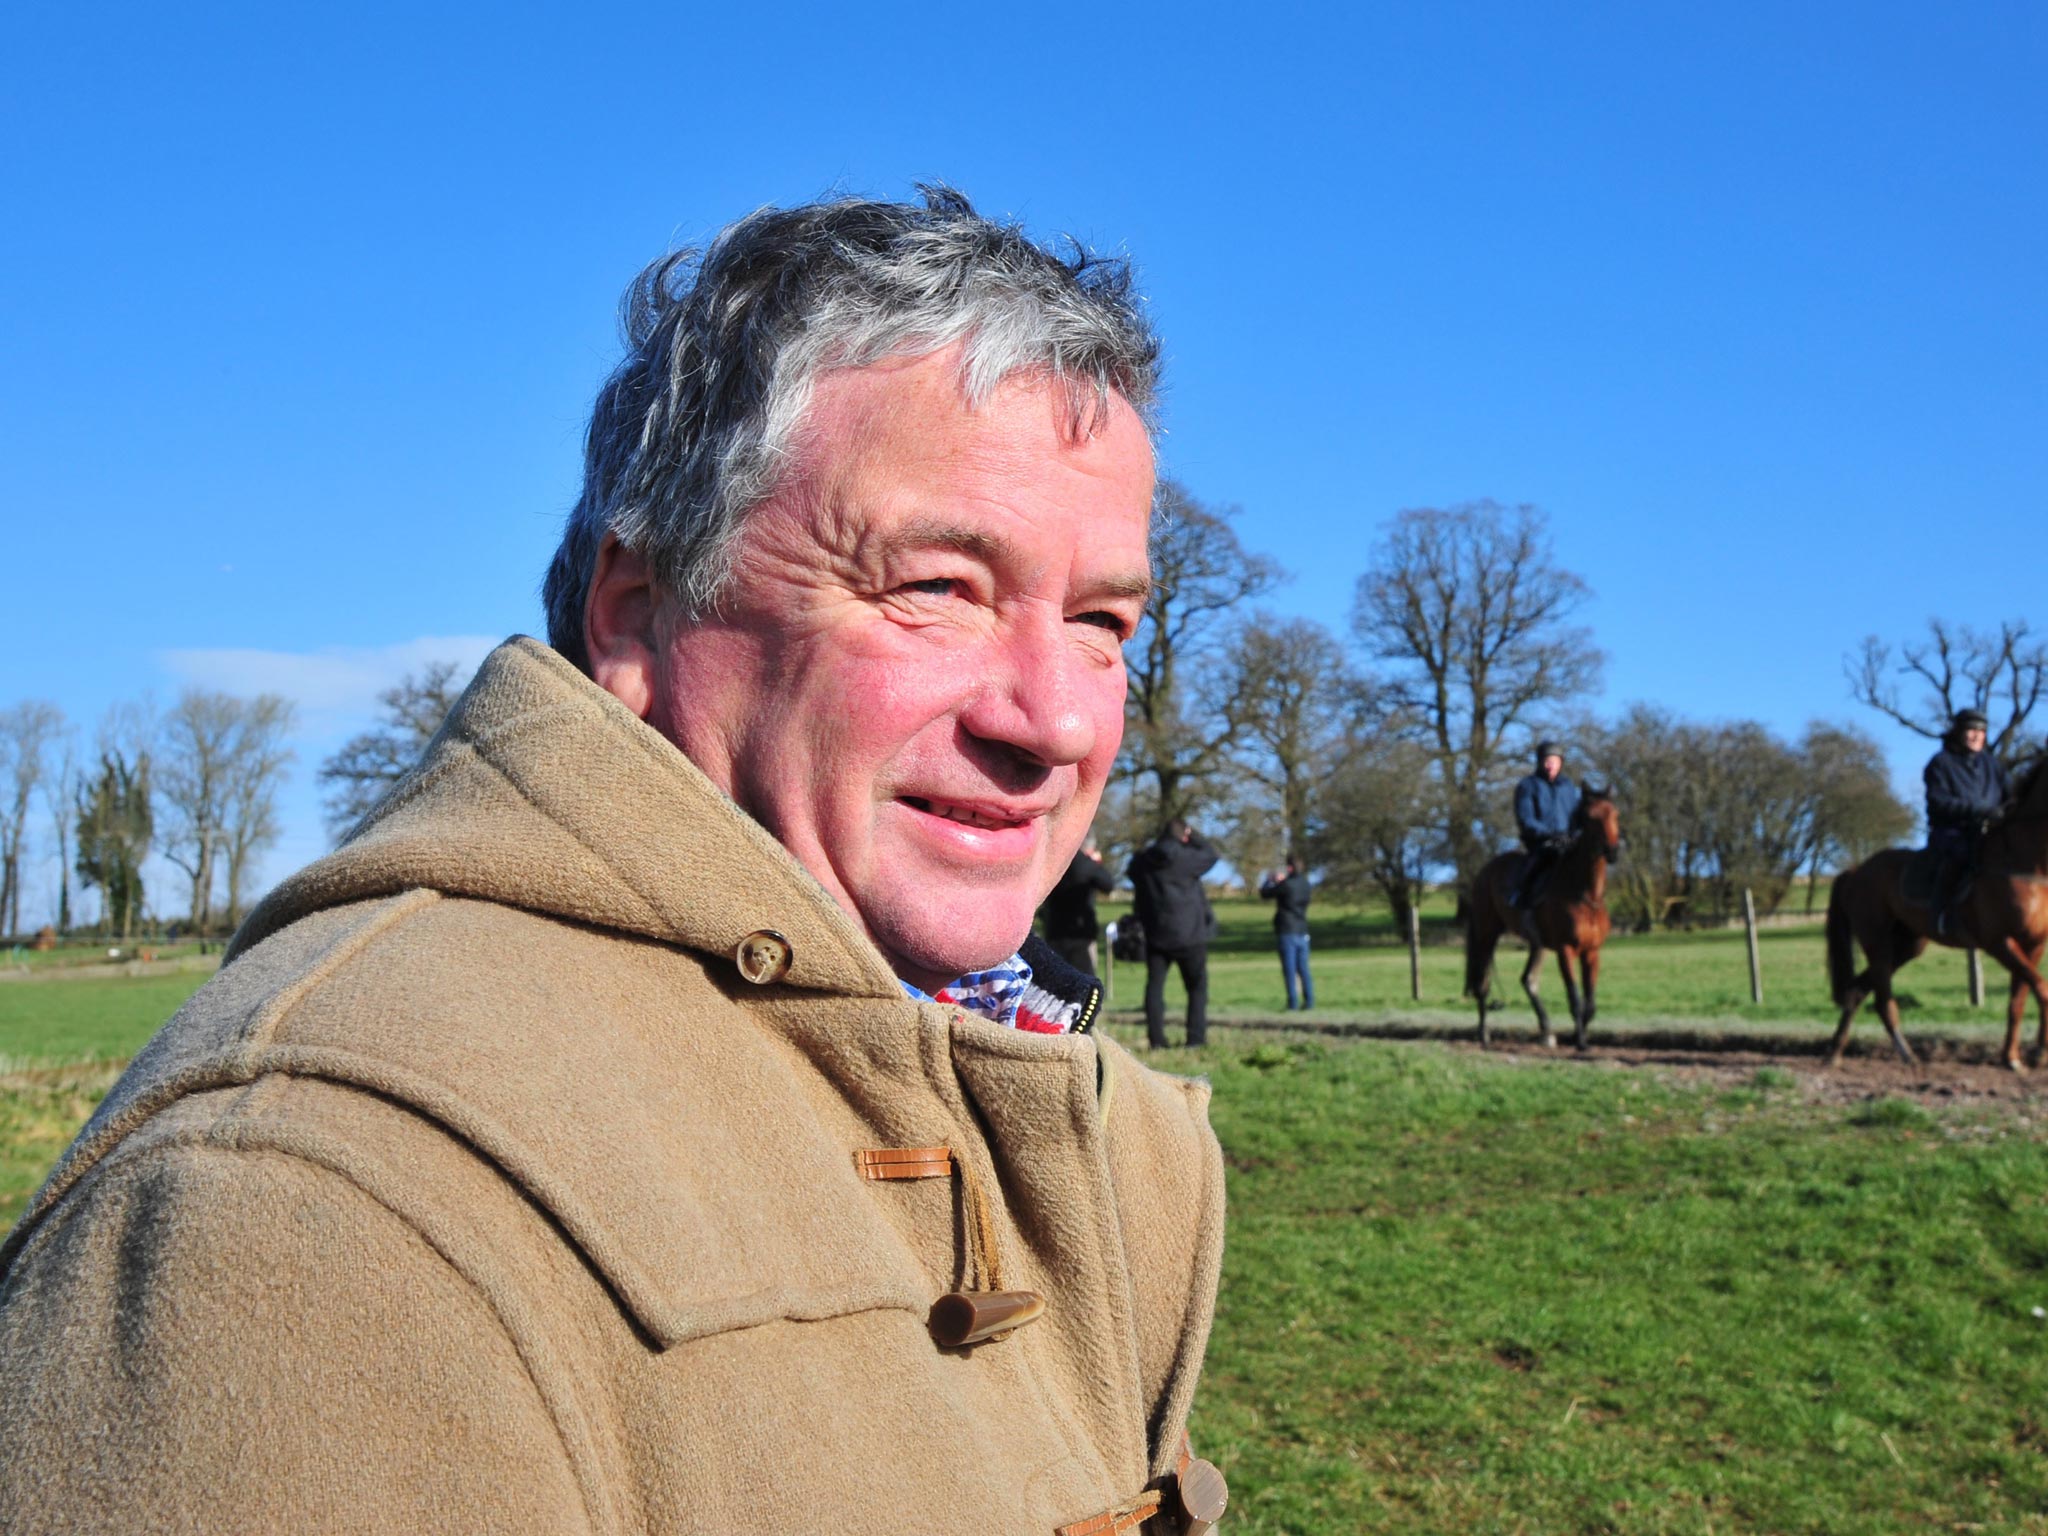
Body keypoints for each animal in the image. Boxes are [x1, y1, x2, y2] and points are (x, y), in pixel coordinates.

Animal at [1466, 794, 1622, 1056]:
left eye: (1615, 813)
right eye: (1589, 818)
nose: (1612, 850)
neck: (1584, 893)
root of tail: (1484, 871)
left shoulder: (1591, 951)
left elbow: (1590, 1003)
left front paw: (1579, 1035)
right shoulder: (1566, 950)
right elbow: (1575, 997)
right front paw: (1580, 1041)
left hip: (1537, 944)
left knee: (1528, 980)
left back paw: (1546, 1031)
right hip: (1487, 935)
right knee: (1483, 982)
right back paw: (1483, 1034)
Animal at [1826, 753, 2048, 1073]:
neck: (2022, 863)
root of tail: (1856, 871)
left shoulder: (2033, 944)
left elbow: (2018, 1000)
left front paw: (2012, 1057)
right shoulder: (2000, 943)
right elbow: (2042, 988)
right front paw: (2040, 1052)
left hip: (1905, 946)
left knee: (1856, 991)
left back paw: (1835, 1051)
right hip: (1877, 944)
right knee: (1881, 999)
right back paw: (1907, 1054)